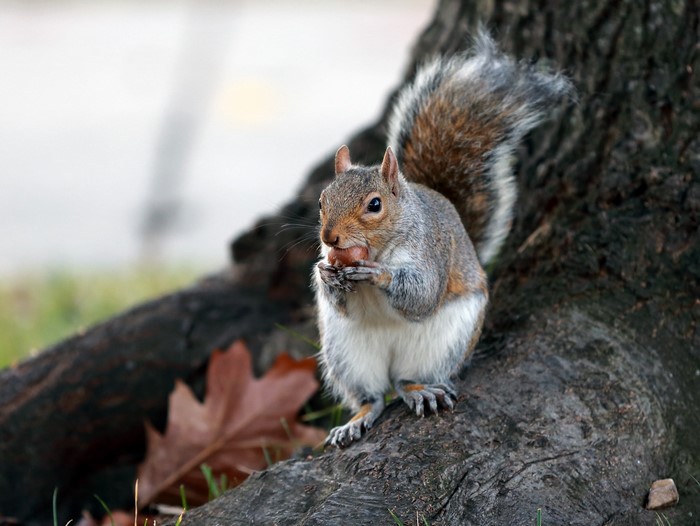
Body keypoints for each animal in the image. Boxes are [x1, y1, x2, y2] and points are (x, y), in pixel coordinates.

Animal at [314, 32, 571, 448]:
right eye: (322, 200)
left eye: (374, 205)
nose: (329, 236)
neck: (381, 246)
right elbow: (338, 302)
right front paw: (326, 275)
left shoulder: (430, 252)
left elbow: (422, 294)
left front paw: (378, 274)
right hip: (347, 354)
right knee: (373, 396)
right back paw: (357, 419)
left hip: (444, 343)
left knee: (405, 381)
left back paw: (421, 390)